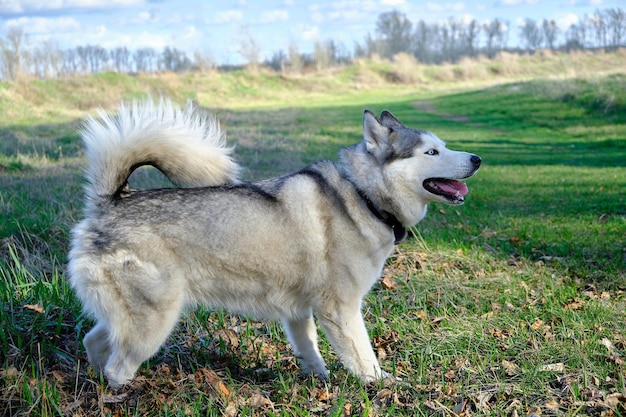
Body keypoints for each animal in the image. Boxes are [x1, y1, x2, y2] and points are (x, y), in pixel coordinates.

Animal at [67, 99, 478, 386]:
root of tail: (110, 201)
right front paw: (381, 386)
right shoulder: (341, 310)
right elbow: (364, 356)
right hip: (154, 321)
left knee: (94, 343)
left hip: (133, 316)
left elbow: (310, 349)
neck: (363, 196)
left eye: (443, 146)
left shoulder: (299, 310)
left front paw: (319, 380)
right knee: (118, 367)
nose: (476, 157)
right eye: (431, 152)